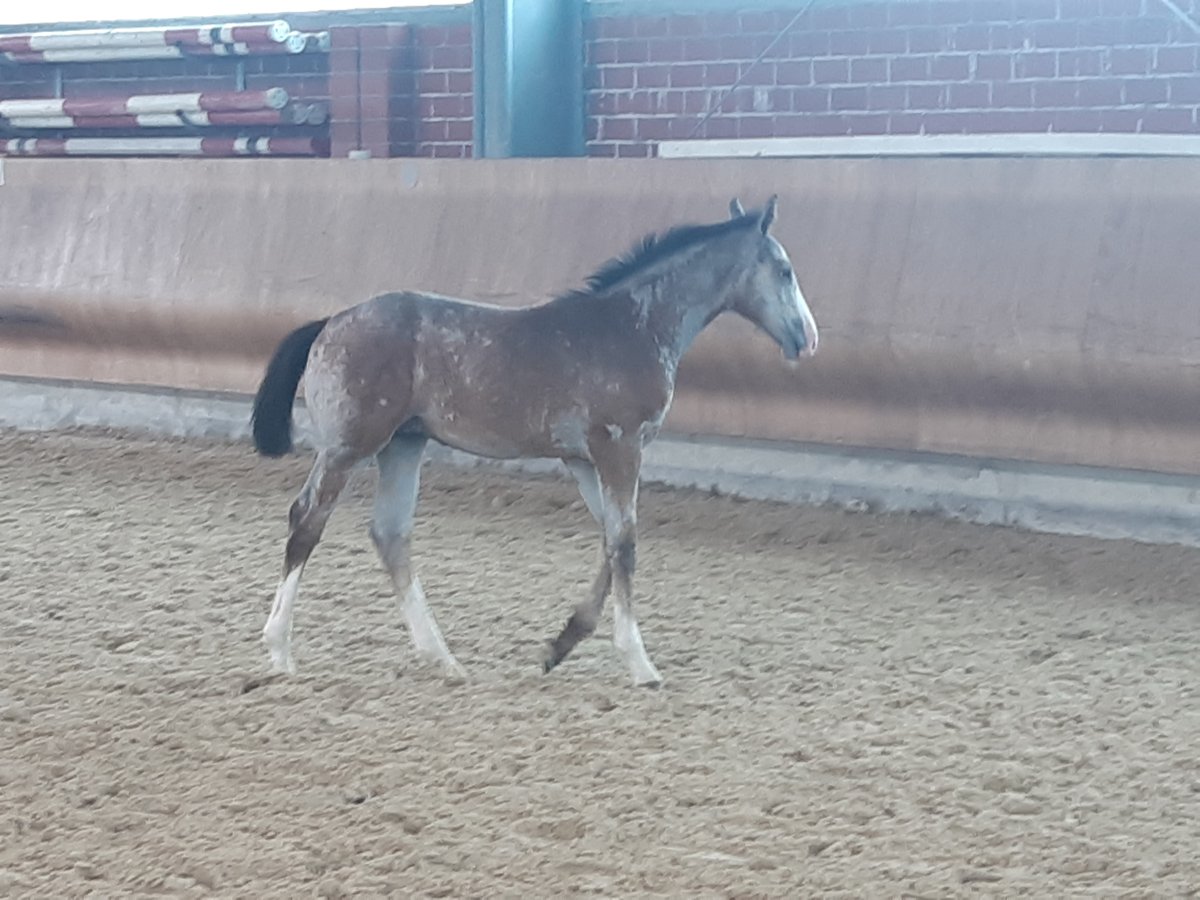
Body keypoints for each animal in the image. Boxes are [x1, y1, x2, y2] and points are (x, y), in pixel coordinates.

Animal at [250, 195, 816, 691]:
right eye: (785, 270)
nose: (808, 338)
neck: (634, 326)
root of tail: (330, 322)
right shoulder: (620, 447)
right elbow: (625, 542)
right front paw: (640, 664)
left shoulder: (583, 459)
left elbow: (611, 539)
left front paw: (558, 646)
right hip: (349, 446)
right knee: (307, 519)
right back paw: (279, 650)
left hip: (404, 445)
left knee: (390, 534)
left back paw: (443, 659)